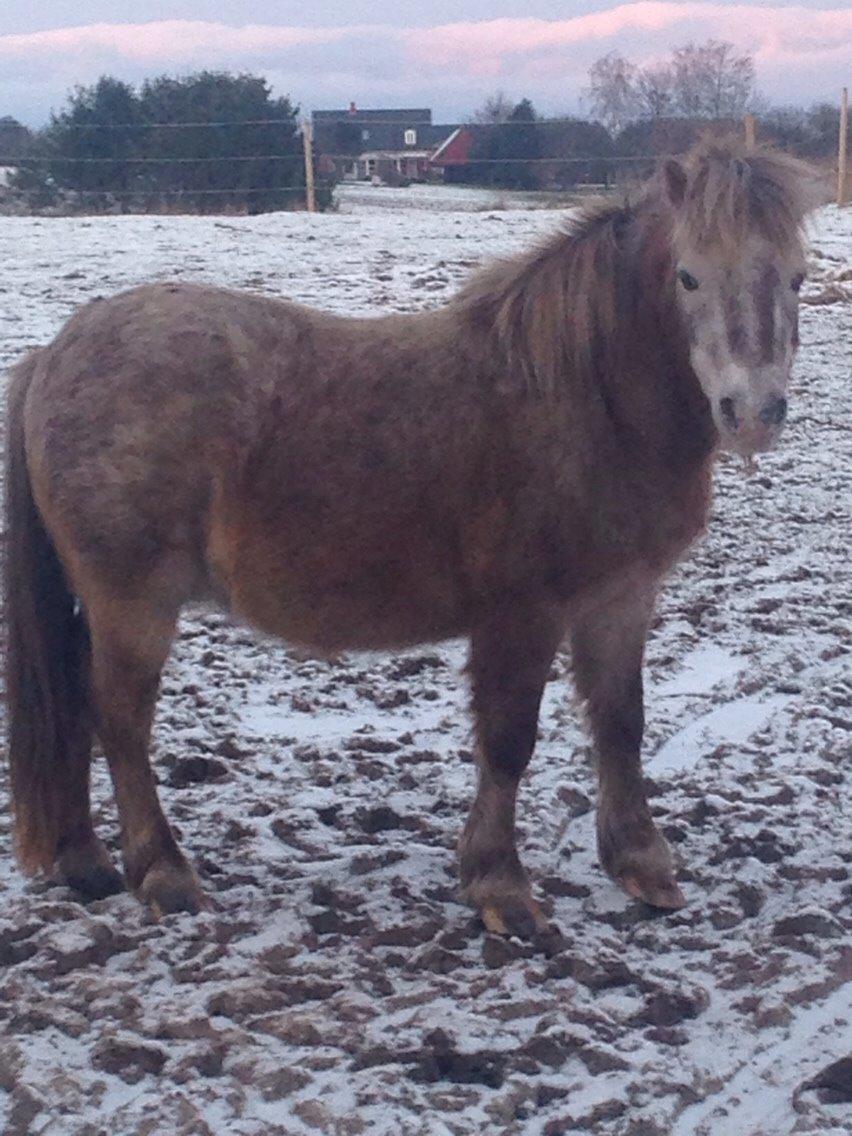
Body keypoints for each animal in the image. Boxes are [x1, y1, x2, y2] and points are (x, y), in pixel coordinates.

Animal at [6, 139, 822, 931]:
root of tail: (54, 354)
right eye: (688, 277)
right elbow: (508, 741)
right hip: (133, 601)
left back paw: (88, 865)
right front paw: (500, 886)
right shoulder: (520, 613)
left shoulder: (620, 600)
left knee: (75, 705)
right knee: (120, 720)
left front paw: (641, 866)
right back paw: (164, 875)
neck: (587, 398)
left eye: (798, 278)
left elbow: (621, 723)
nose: (752, 411)